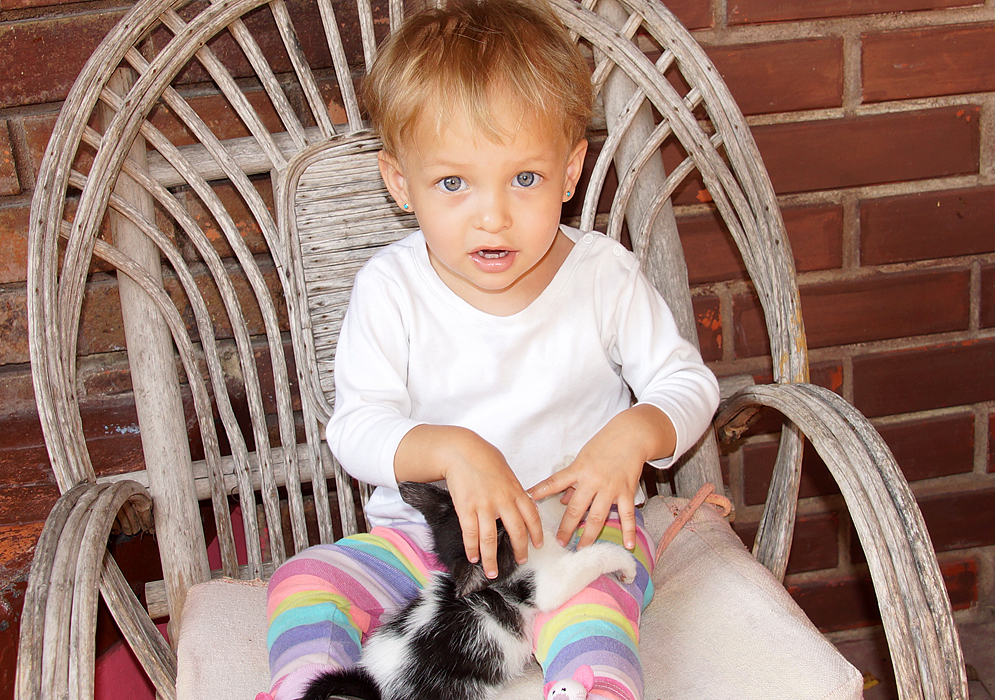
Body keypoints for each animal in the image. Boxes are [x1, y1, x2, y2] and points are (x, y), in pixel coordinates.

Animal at [300, 482, 636, 700]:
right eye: (499, 534)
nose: (516, 525)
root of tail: (377, 686)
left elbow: (549, 513)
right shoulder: (544, 583)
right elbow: (587, 560)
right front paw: (624, 561)